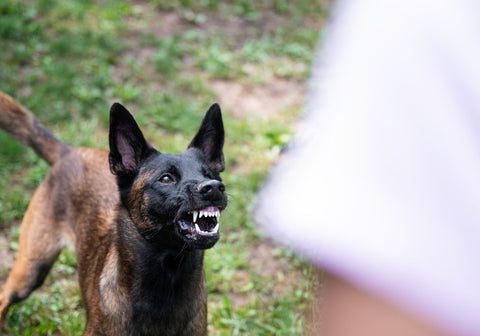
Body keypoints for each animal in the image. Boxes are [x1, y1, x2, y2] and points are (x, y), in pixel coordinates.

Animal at [0, 90, 228, 334]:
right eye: (166, 179)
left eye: (209, 174)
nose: (214, 187)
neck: (168, 274)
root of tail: (69, 152)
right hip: (31, 268)